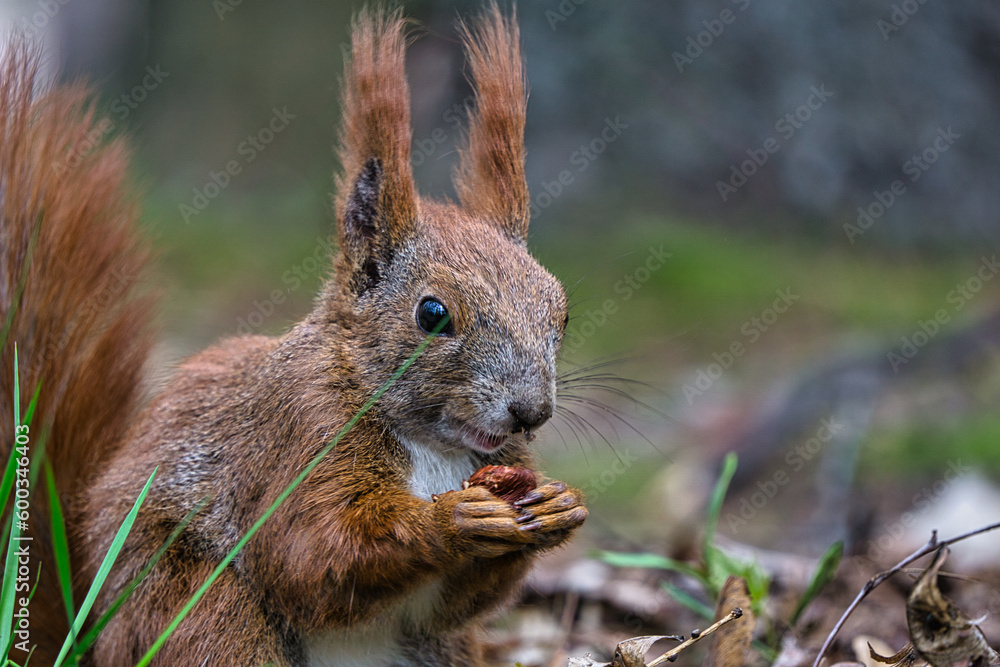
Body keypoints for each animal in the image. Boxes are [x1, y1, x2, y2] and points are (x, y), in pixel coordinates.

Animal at [1, 4, 588, 666]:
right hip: (203, 614)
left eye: (562, 313)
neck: (434, 447)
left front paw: (558, 506)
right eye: (432, 314)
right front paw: (451, 520)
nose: (531, 412)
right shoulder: (300, 434)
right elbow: (308, 555)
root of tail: (92, 643)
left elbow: (463, 599)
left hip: (441, 650)